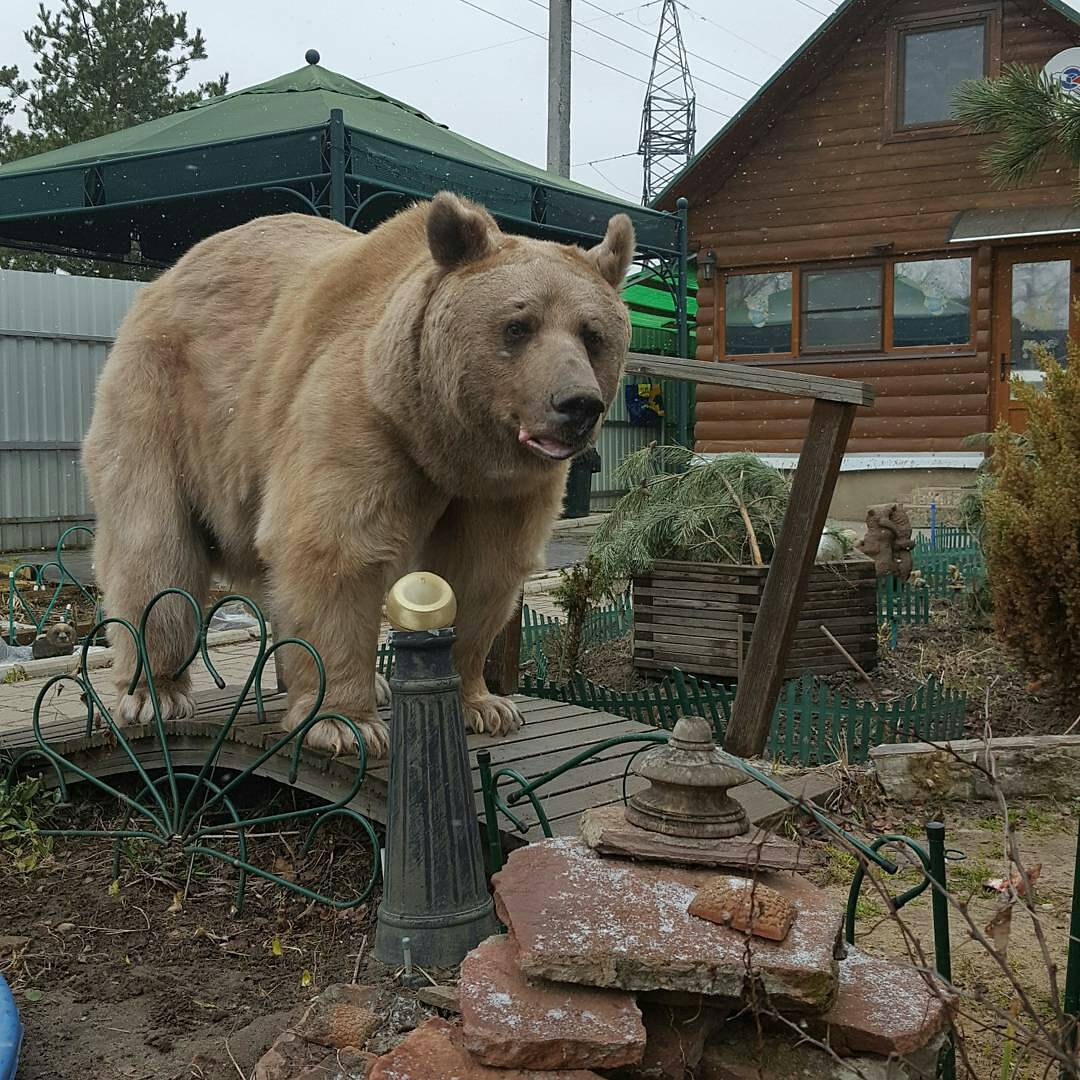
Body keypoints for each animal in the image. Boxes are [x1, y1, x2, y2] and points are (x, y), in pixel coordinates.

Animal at [86, 190, 639, 756]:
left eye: (593, 335)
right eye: (518, 325)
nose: (576, 404)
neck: (446, 443)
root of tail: (165, 278)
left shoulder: (501, 489)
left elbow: (482, 569)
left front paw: (486, 705)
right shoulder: (359, 414)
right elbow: (336, 548)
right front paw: (344, 725)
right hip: (166, 405)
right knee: (154, 551)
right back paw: (155, 693)